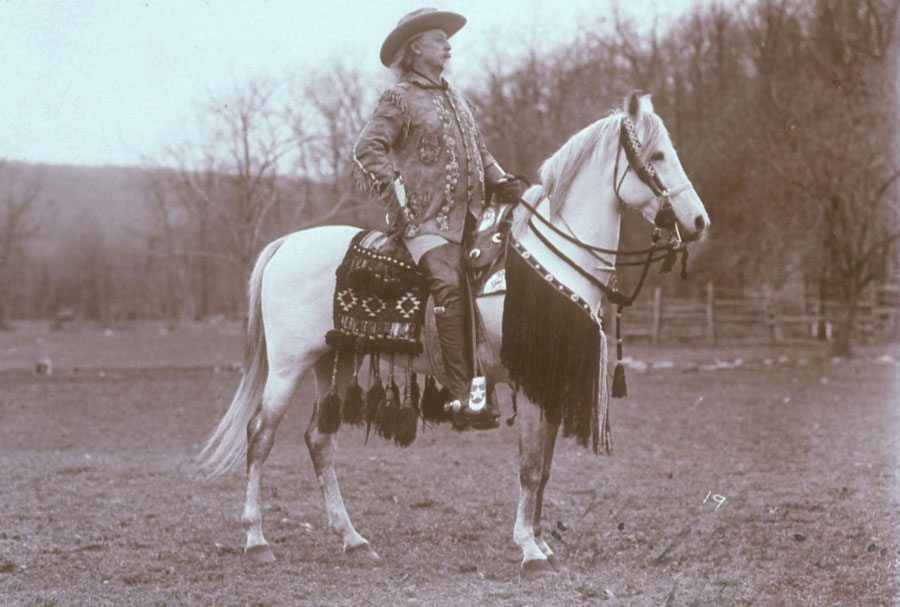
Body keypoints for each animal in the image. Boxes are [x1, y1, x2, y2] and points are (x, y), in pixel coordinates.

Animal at [197, 92, 712, 576]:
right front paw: (530, 551)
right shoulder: (528, 384)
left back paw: (353, 540)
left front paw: (542, 543)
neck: (553, 256)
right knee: (260, 436)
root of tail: (287, 244)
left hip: (334, 362)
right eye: (658, 154)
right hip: (288, 367)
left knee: (320, 440)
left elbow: (544, 468)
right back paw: (257, 540)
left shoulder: (545, 385)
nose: (699, 222)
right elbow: (530, 468)